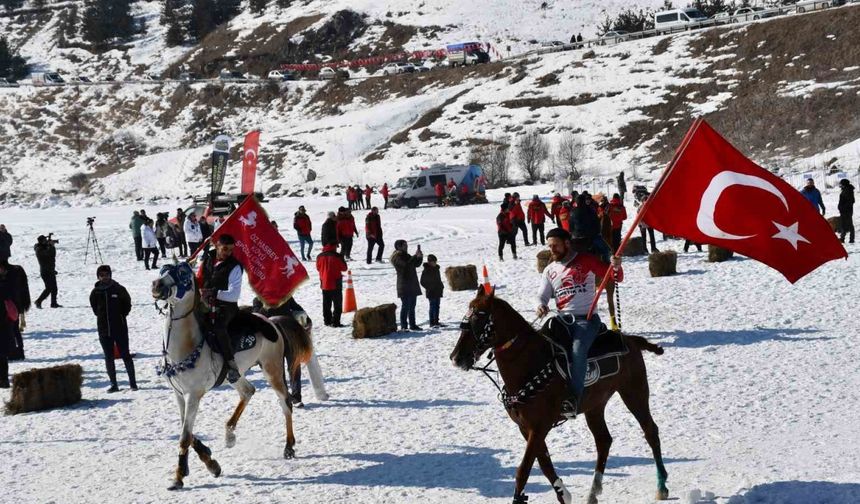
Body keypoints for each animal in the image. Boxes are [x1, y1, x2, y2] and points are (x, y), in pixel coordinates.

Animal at [149, 262, 324, 490]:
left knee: (285, 404)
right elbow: (186, 430)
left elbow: (185, 436)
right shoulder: (178, 393)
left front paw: (179, 476)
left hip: (272, 369)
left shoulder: (193, 395)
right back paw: (229, 434)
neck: (185, 346)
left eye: (183, 274)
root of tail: (272, 322)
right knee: (248, 391)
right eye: (163, 270)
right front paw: (211, 463)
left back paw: (288, 447)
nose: (157, 285)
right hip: (235, 375)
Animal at [454, 288, 668, 504]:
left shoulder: (540, 427)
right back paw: (593, 492)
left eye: (479, 318)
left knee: (650, 431)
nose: (456, 357)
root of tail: (631, 339)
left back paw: (662, 487)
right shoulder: (526, 428)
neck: (530, 364)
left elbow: (524, 470)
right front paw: (563, 494)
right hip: (595, 406)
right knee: (604, 441)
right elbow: (545, 465)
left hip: (634, 392)